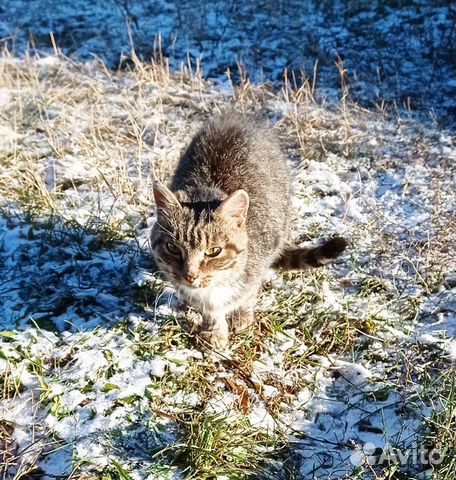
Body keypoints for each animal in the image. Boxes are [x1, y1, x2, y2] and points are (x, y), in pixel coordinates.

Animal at [150, 115, 346, 350]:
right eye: (172, 248)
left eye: (214, 251)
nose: (190, 275)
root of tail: (237, 118)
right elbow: (210, 311)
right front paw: (214, 331)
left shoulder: (257, 267)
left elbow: (246, 296)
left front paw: (241, 317)